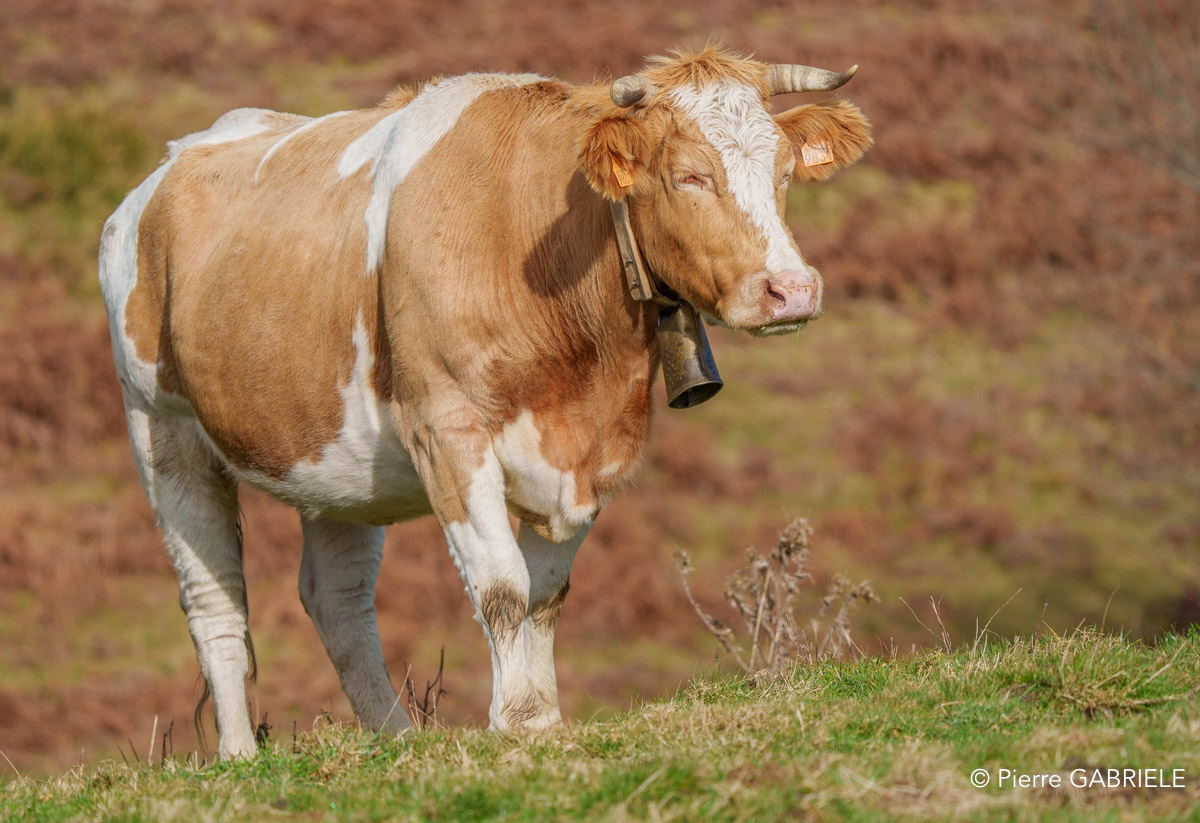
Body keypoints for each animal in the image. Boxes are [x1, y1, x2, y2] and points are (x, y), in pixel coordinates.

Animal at [99, 45, 871, 760]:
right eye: (689, 175)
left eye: (783, 172)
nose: (792, 289)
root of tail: (164, 171)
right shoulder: (448, 431)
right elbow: (501, 584)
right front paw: (517, 718)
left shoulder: (598, 454)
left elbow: (545, 591)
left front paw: (545, 715)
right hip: (162, 430)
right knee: (213, 600)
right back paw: (238, 754)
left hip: (332, 462)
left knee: (337, 601)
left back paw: (397, 738)